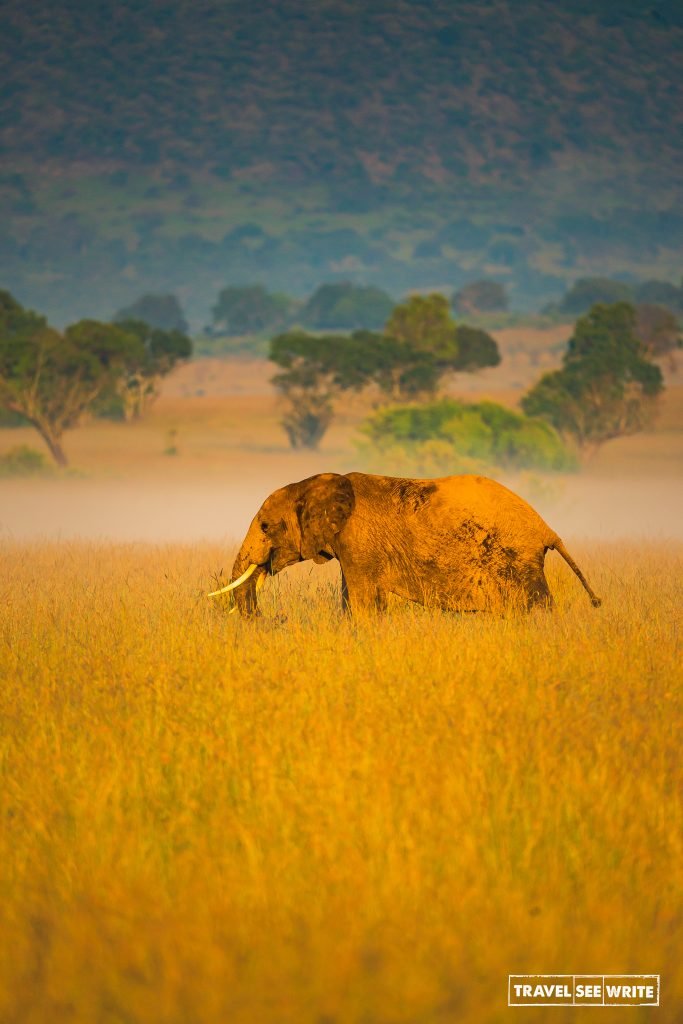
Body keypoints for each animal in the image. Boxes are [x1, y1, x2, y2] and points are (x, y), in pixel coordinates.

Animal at [210, 472, 601, 616]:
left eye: (265, 526)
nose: (270, 619)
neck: (314, 482)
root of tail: (547, 529)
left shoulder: (357, 542)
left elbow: (360, 601)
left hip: (516, 558)